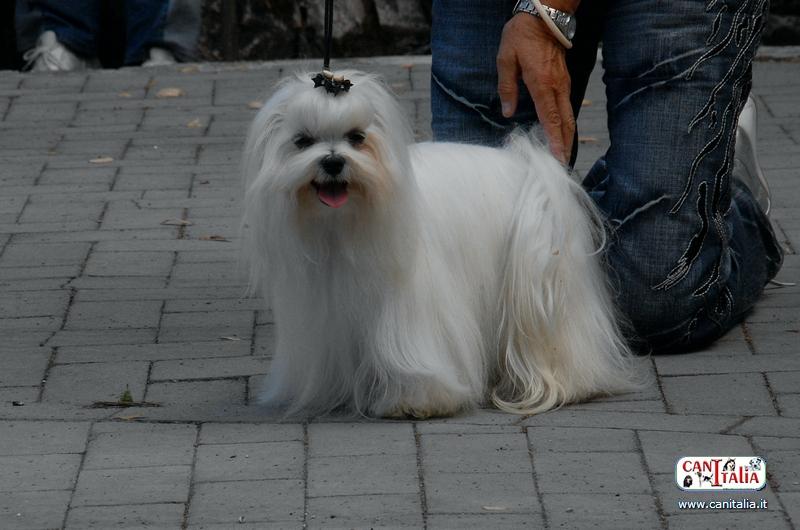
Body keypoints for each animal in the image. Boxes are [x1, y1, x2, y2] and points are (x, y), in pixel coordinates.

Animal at [241, 70, 641, 418]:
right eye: (303, 141)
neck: (343, 227)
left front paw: (415, 401)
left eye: (357, 137)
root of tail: (529, 167)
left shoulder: (408, 312)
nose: (333, 162)